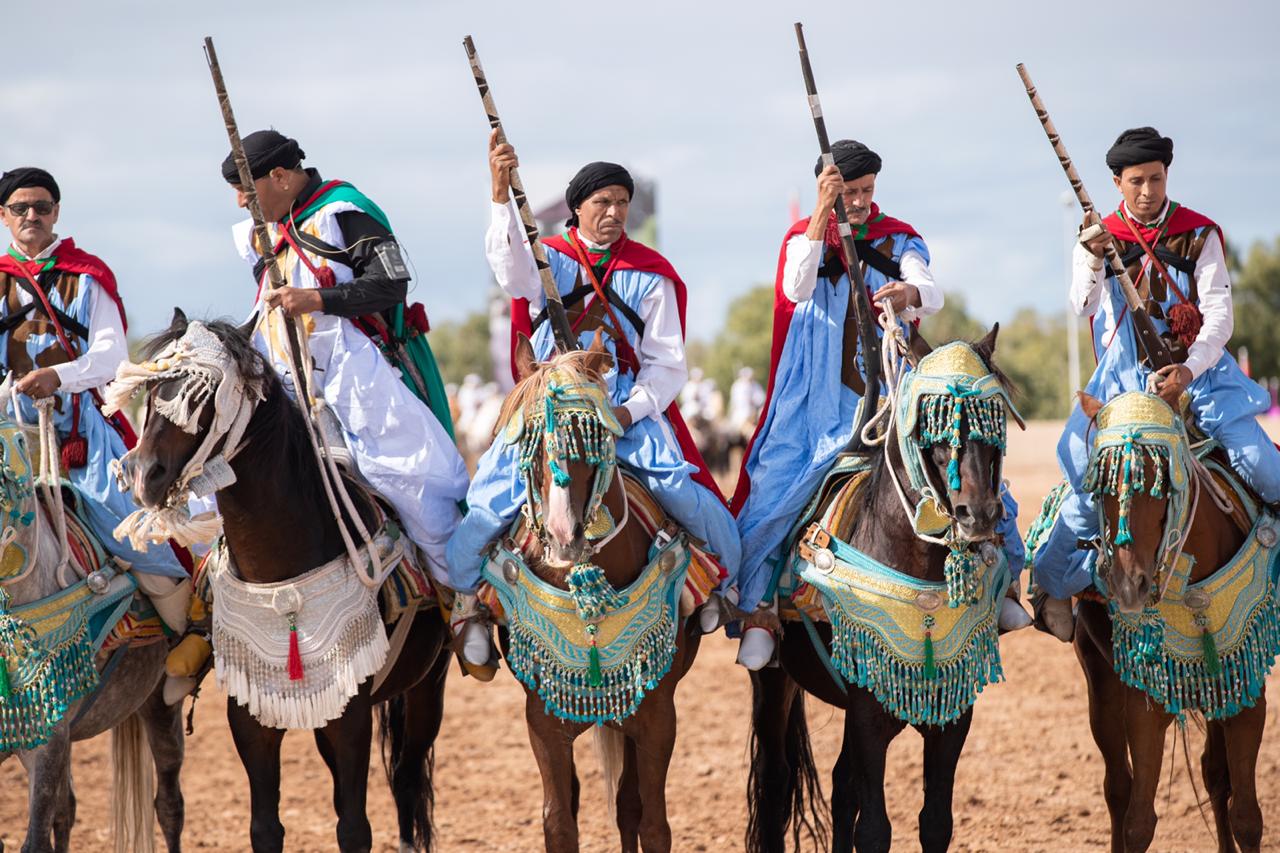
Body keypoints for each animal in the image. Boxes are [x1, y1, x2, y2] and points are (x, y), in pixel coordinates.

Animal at [120, 313, 458, 850]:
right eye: (153, 392)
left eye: (203, 397)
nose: (143, 476)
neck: (280, 580)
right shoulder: (251, 717)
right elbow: (266, 827)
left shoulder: (351, 714)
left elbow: (354, 826)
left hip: (428, 683)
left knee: (406, 779)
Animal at [481, 333, 706, 850]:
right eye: (527, 442)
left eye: (591, 436)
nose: (565, 537)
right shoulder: (543, 719)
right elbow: (559, 822)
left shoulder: (656, 715)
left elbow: (653, 824)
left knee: (629, 807)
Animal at [747, 322, 1018, 845]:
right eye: (931, 423)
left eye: (994, 421)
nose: (977, 515)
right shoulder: (868, 714)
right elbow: (873, 828)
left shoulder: (951, 714)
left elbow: (935, 821)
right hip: (773, 680)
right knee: (775, 784)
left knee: (839, 786)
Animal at [1070, 389, 1269, 845]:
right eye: (1098, 487)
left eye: (1161, 482)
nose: (1129, 586)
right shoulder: (1146, 702)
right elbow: (1138, 822)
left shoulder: (1245, 689)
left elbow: (1247, 817)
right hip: (1100, 683)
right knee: (1118, 788)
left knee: (1215, 773)